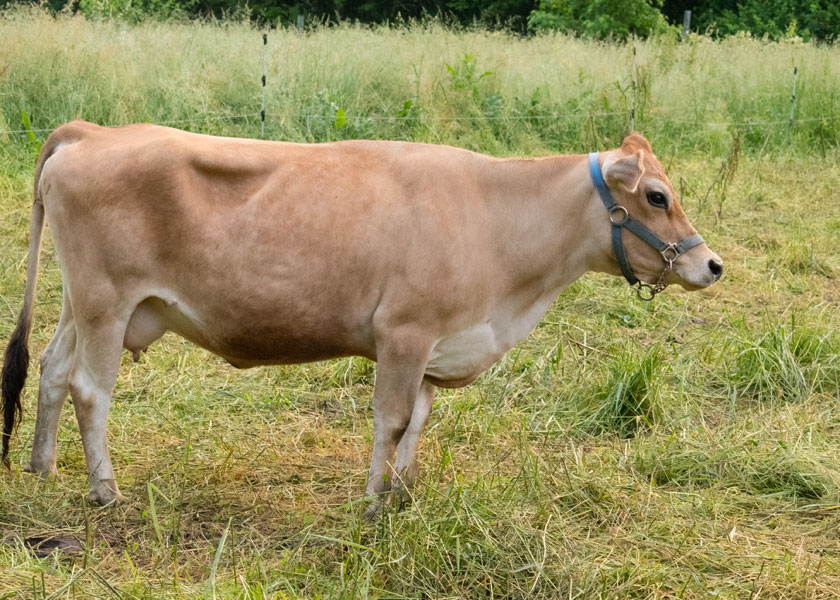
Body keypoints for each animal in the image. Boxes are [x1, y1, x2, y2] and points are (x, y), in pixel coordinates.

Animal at [1, 121, 722, 515]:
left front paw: (402, 496)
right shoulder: (404, 333)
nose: (711, 264)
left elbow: (418, 425)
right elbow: (393, 421)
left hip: (84, 303)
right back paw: (104, 489)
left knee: (53, 369)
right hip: (106, 300)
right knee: (90, 389)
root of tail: (93, 131)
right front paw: (375, 505)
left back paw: (42, 466)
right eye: (657, 196)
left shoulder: (435, 345)